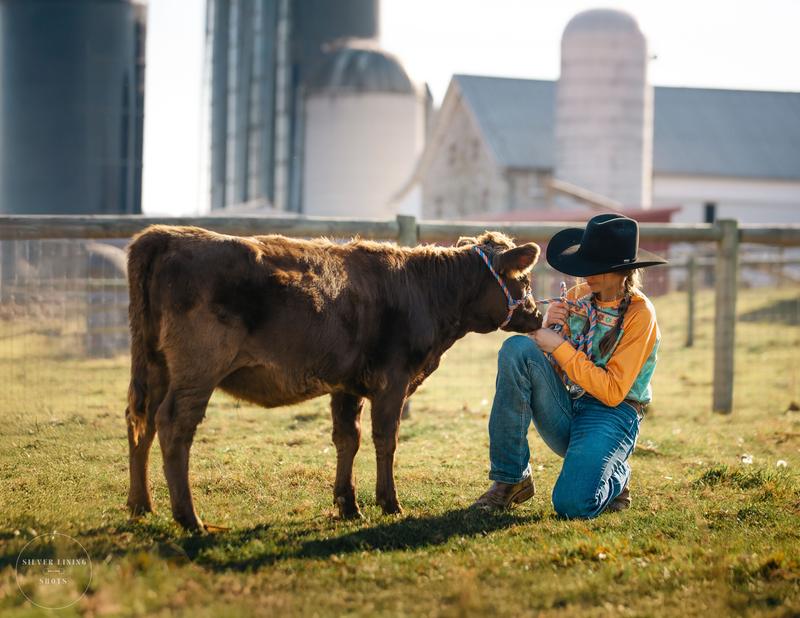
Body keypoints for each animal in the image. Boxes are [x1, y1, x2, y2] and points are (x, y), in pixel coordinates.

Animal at [124, 225, 543, 531]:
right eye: (522, 278)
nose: (538, 314)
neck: (424, 291)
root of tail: (167, 234)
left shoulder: (347, 384)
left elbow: (347, 439)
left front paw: (348, 504)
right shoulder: (393, 381)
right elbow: (385, 439)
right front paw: (389, 503)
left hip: (154, 367)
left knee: (140, 423)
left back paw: (141, 504)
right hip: (197, 369)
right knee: (173, 425)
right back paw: (189, 518)